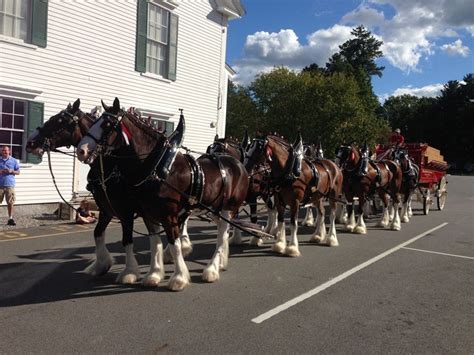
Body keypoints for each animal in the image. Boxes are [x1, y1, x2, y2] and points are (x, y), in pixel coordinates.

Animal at [25, 99, 170, 286]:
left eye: (60, 121)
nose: (30, 142)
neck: (111, 166)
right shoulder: (106, 208)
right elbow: (98, 233)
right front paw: (101, 264)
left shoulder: (125, 211)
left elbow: (127, 239)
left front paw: (129, 272)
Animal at [76, 98, 250, 292]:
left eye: (107, 124)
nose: (81, 150)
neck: (158, 168)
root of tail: (238, 164)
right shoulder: (148, 214)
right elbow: (155, 243)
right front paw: (153, 274)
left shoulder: (166, 215)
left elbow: (174, 245)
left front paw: (178, 278)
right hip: (214, 209)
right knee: (223, 232)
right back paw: (220, 263)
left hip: (228, 207)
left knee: (221, 235)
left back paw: (211, 269)